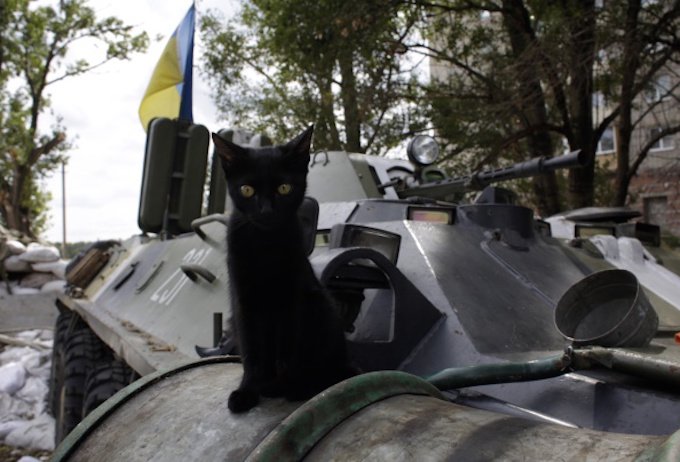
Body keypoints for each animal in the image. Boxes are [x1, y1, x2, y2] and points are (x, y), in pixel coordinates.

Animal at [212, 124, 356, 414]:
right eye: (247, 190)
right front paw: (247, 391)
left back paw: (305, 385)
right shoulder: (243, 301)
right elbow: (252, 352)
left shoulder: (291, 299)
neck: (265, 245)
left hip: (320, 307)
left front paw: (283, 386)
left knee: (330, 370)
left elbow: (286, 349)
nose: (267, 211)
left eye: (284, 188)